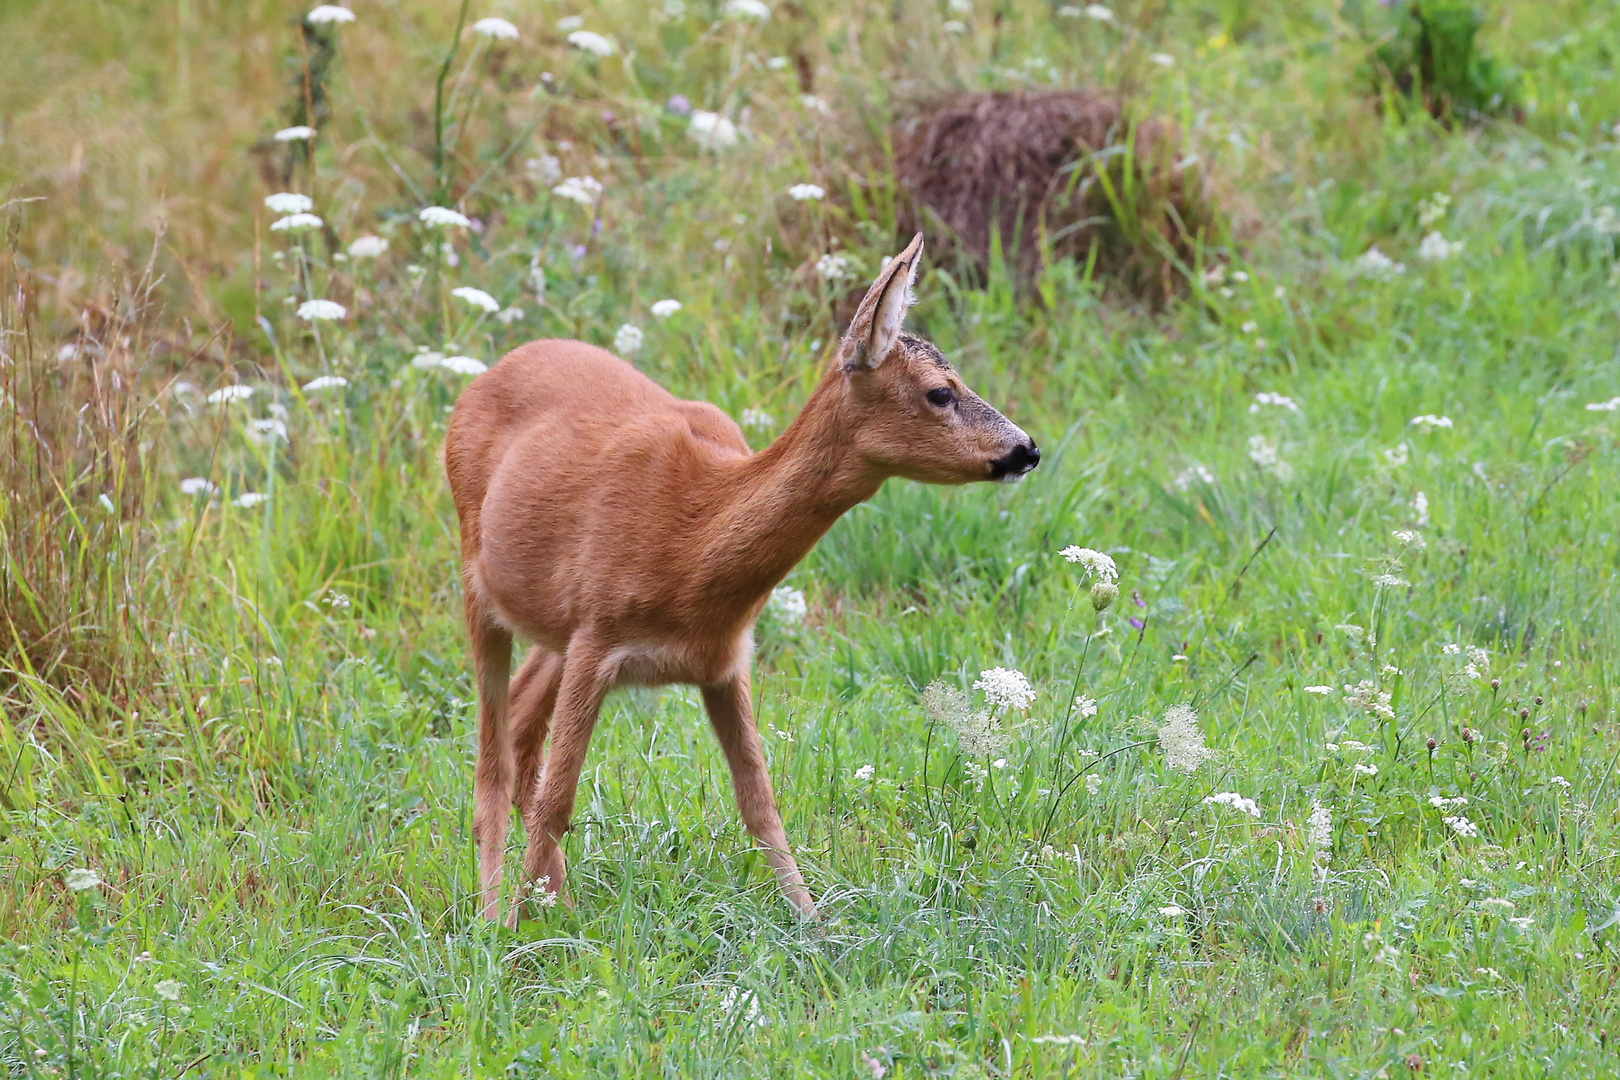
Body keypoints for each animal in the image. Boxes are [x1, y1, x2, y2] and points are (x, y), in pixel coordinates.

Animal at [447, 233, 1036, 926]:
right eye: (941, 392)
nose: (1027, 449)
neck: (692, 547)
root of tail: (483, 378)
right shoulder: (598, 636)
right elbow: (558, 802)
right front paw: (518, 938)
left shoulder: (725, 661)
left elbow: (761, 804)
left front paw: (814, 925)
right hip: (478, 578)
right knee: (493, 759)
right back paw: (494, 913)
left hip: (553, 626)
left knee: (520, 722)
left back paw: (555, 902)